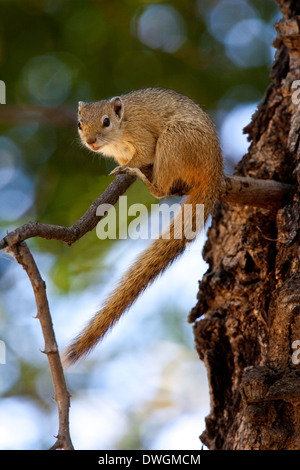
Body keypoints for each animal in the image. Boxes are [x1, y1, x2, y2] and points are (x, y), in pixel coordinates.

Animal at [65, 89, 223, 368]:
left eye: (106, 121)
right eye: (80, 124)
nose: (91, 142)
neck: (121, 129)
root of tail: (213, 171)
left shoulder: (142, 136)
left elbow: (144, 154)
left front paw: (127, 168)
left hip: (174, 141)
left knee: (161, 190)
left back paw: (143, 178)